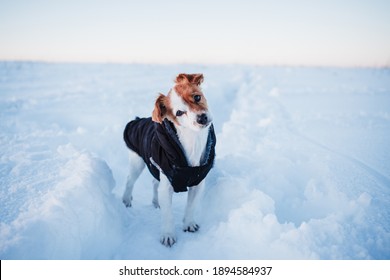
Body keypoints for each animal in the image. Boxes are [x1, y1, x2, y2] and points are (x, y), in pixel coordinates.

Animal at [122, 73, 216, 246]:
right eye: (179, 112)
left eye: (197, 97)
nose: (202, 118)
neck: (193, 141)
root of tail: (137, 119)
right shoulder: (167, 184)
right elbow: (168, 214)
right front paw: (168, 234)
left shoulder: (198, 182)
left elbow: (191, 206)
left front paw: (188, 224)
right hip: (137, 162)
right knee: (130, 180)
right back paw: (126, 200)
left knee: (154, 182)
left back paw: (156, 202)